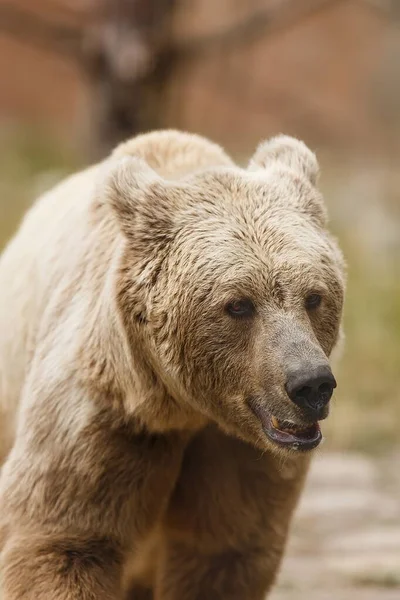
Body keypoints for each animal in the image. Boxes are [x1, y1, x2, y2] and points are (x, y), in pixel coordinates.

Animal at [0, 131, 344, 600]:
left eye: (314, 296)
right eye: (238, 304)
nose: (311, 384)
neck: (183, 407)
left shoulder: (237, 453)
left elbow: (223, 551)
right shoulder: (106, 412)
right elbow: (65, 538)